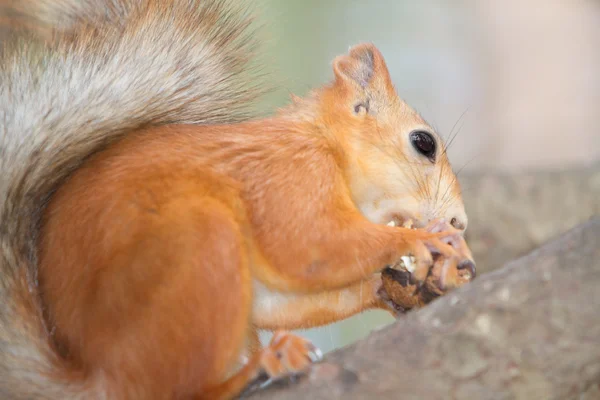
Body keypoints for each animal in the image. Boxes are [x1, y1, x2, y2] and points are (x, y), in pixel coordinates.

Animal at [1, 0, 478, 400]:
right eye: (423, 143)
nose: (459, 222)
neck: (327, 145)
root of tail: (97, 379)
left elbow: (283, 296)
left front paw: (396, 286)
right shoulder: (289, 175)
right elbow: (309, 247)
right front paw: (426, 240)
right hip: (199, 248)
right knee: (175, 389)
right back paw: (256, 370)